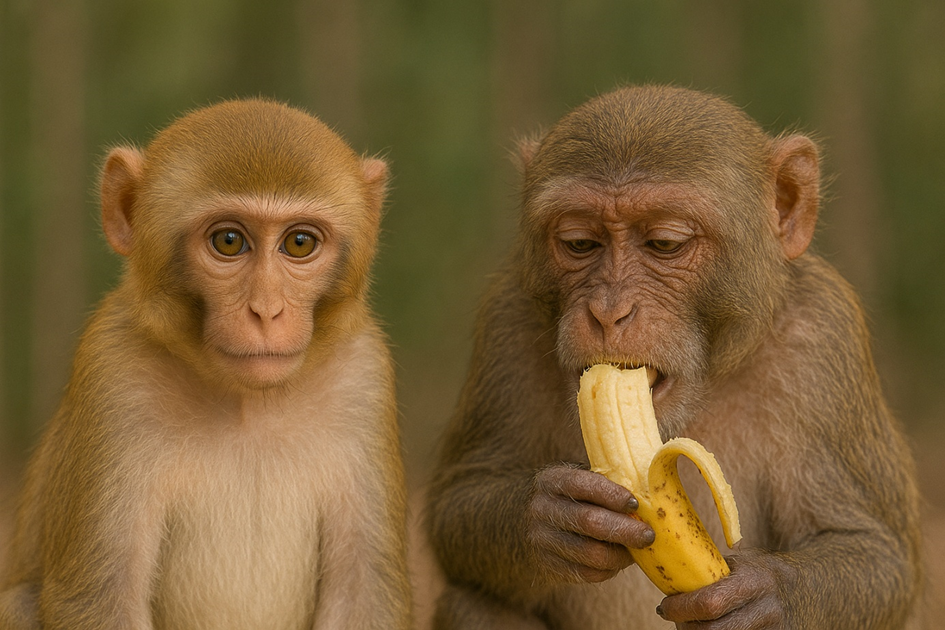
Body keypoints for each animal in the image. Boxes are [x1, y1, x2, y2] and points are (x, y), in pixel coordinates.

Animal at [0, 99, 411, 630]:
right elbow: (100, 599)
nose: (266, 311)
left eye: (300, 243)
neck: (248, 405)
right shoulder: (113, 371)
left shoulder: (363, 374)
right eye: (229, 241)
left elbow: (365, 597)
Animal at [426, 85, 922, 629]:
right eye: (580, 242)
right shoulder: (508, 317)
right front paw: (551, 516)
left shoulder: (824, 337)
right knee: (475, 602)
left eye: (665, 242)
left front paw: (765, 600)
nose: (609, 312)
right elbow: (460, 500)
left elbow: (875, 549)